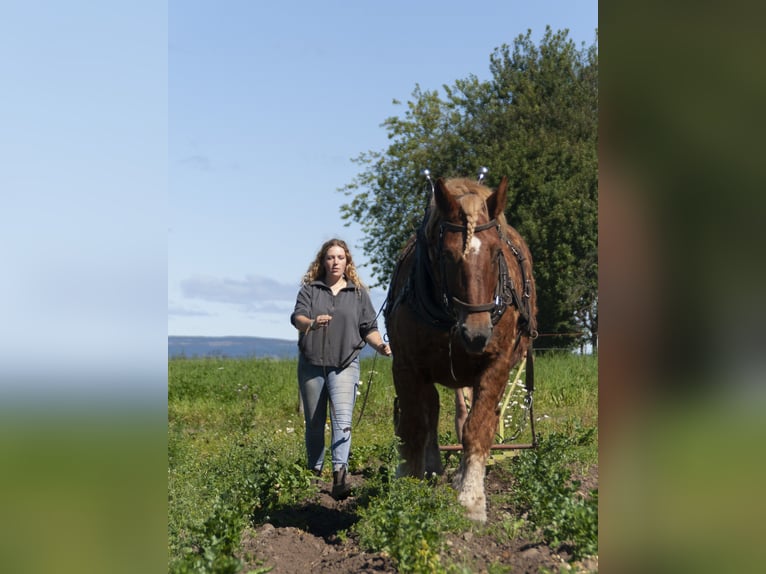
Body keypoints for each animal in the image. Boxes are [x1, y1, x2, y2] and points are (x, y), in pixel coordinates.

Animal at [384, 176, 540, 520]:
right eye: (447, 255)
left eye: (496, 252)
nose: (477, 333)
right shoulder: (407, 366)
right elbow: (414, 426)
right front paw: (408, 486)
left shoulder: (496, 364)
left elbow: (477, 427)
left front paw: (471, 498)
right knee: (430, 413)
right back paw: (431, 467)